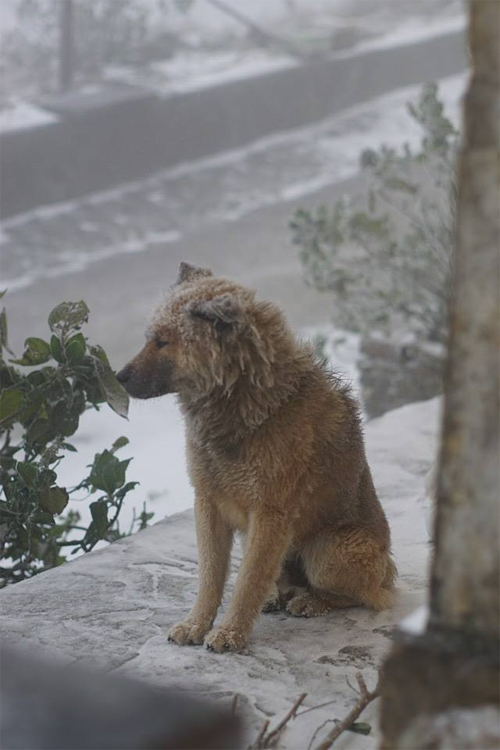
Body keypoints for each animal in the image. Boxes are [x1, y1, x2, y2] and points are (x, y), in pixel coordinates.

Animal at [117, 264, 394, 652]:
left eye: (162, 341)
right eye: (151, 338)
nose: (119, 377)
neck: (248, 399)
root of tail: (389, 572)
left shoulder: (269, 514)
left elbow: (246, 581)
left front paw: (230, 633)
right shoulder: (208, 504)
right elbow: (212, 576)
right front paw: (196, 624)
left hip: (331, 551)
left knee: (365, 595)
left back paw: (312, 601)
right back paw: (277, 596)